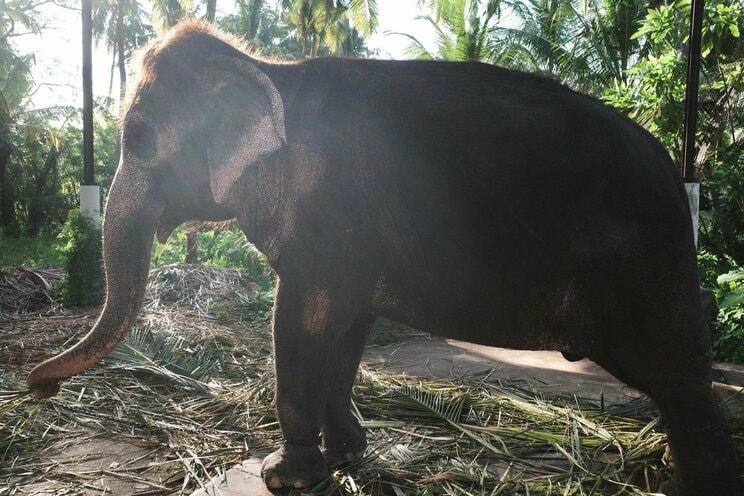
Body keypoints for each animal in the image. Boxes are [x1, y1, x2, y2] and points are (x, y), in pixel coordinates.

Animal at [27, 20, 740, 496]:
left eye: (141, 138)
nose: (41, 388)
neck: (267, 70)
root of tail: (677, 176)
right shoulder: (354, 246)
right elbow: (346, 330)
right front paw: (347, 457)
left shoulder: (327, 218)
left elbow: (298, 322)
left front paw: (283, 476)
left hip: (644, 270)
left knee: (680, 383)